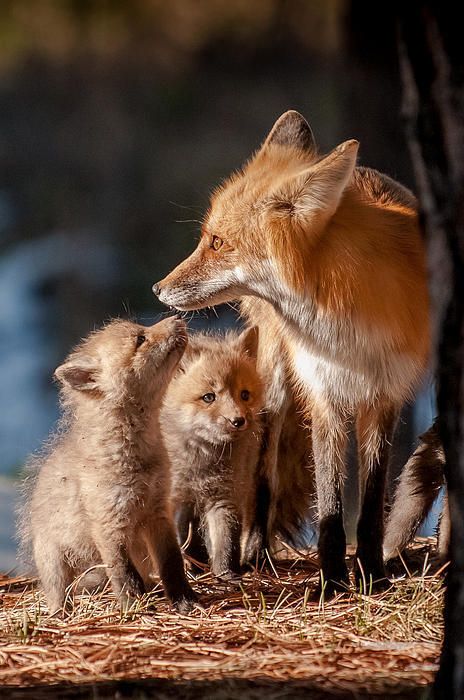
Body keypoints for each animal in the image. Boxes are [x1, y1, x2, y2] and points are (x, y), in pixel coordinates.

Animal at [154, 112, 430, 592]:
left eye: (217, 242)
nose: (157, 289)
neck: (345, 331)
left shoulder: (385, 395)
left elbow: (372, 504)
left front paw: (372, 576)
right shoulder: (324, 394)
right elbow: (331, 507)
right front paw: (332, 582)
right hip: (274, 388)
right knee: (264, 473)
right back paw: (254, 553)